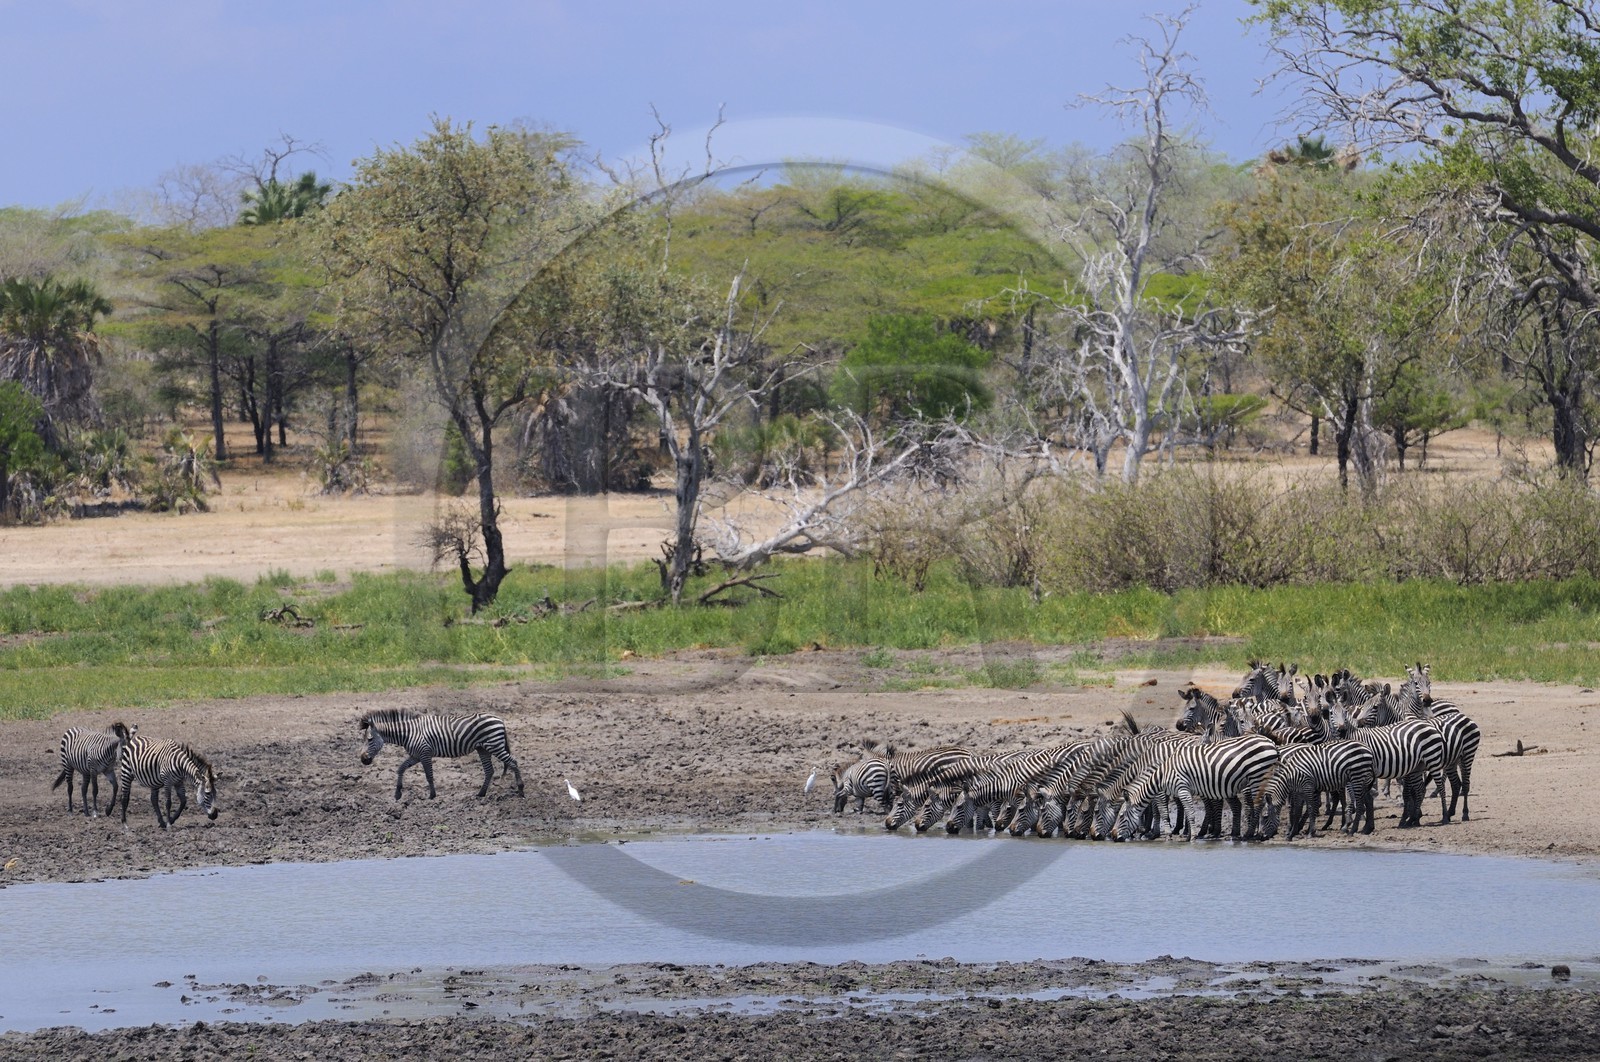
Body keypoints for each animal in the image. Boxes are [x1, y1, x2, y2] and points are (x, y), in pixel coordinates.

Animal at [358, 709, 525, 800]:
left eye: (370, 739)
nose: (363, 760)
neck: (409, 733)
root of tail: (500, 720)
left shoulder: (425, 753)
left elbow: (429, 775)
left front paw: (432, 795)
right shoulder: (416, 756)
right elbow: (401, 768)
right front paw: (398, 793)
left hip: (494, 745)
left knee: (513, 762)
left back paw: (521, 790)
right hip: (483, 748)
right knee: (490, 770)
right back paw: (481, 793)